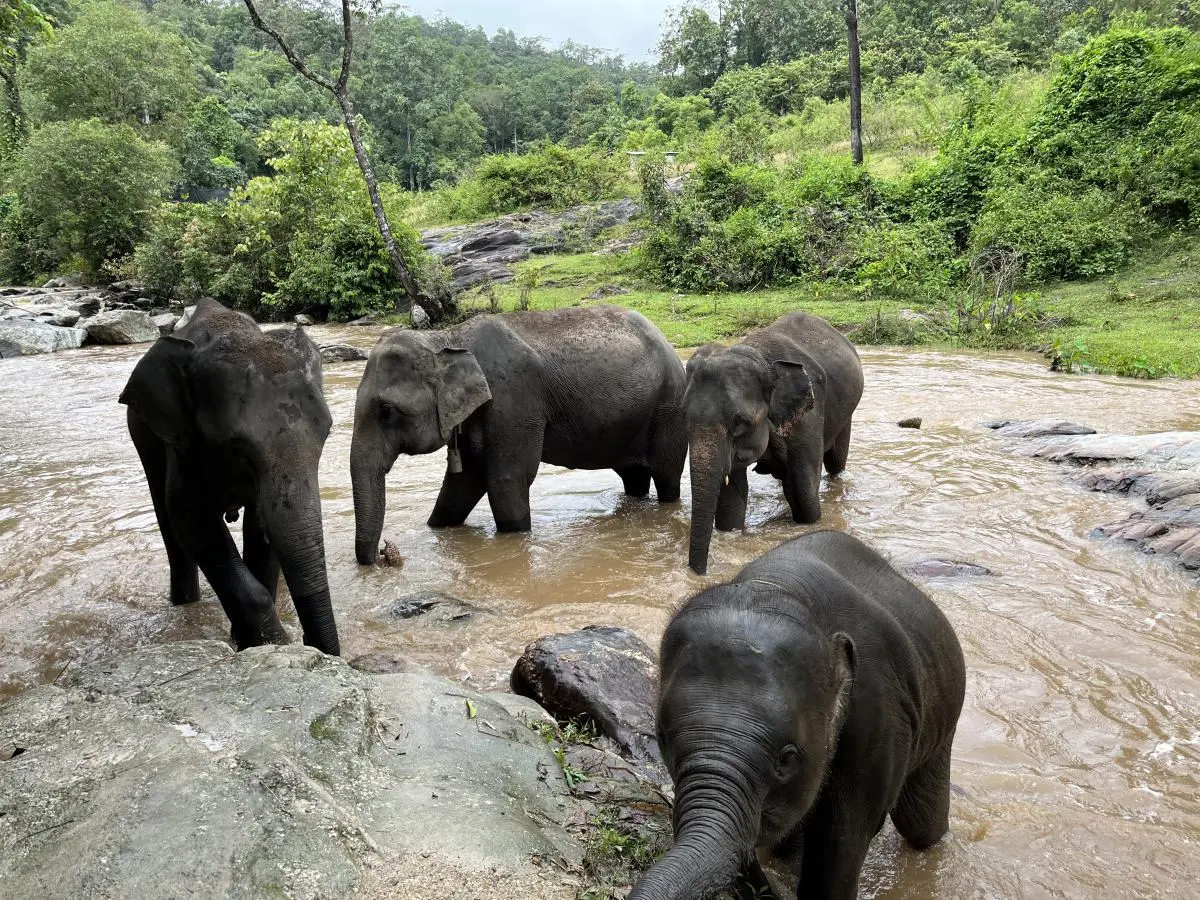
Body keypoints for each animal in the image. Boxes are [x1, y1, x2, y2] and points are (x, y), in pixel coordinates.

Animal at [119, 297, 340, 655]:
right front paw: (272, 642)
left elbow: (261, 528)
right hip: (144, 431)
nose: (312, 643)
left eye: (327, 432)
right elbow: (191, 520)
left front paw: (253, 640)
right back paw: (183, 603)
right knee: (167, 519)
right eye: (237, 444)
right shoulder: (184, 442)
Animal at [351, 305, 687, 563]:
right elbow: (463, 482)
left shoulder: (513, 401)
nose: (382, 554)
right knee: (634, 477)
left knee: (667, 476)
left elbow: (506, 480)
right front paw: (437, 528)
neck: (448, 338)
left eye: (387, 410)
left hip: (668, 409)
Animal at [631, 530, 966, 900]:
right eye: (662, 739)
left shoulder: (878, 715)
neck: (779, 588)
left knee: (920, 825)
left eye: (788, 758)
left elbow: (841, 841)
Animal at [684, 310, 863, 574]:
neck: (759, 355)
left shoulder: (808, 420)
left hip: (846, 413)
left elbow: (802, 493)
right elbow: (732, 498)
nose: (700, 574)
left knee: (835, 462)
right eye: (683, 417)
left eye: (740, 422)